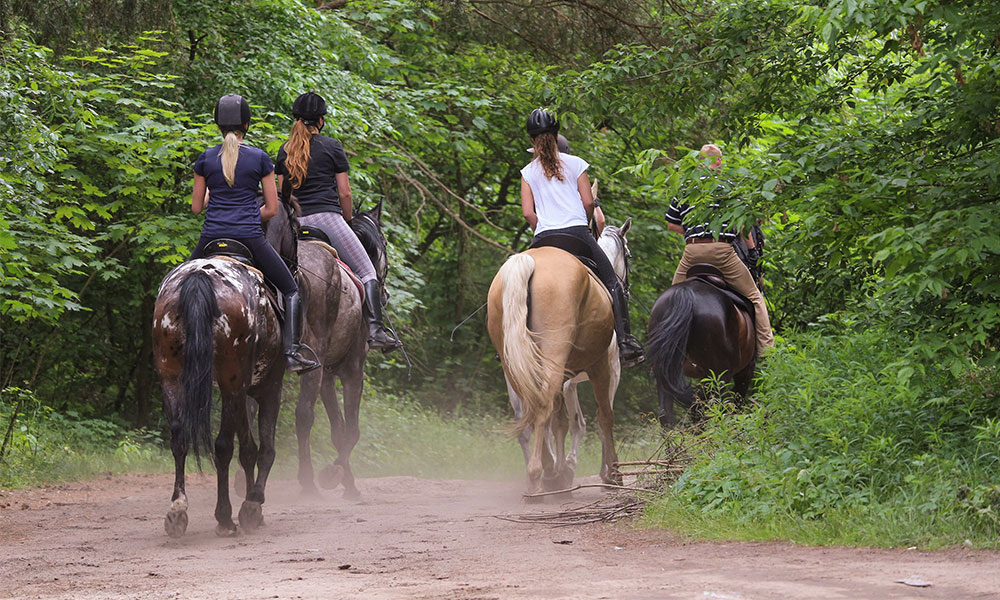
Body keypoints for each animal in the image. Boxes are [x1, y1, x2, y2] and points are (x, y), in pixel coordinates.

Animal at [152, 246, 285, 537]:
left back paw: (177, 510)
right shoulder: (267, 386)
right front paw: (252, 504)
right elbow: (263, 449)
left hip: (172, 377)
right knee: (223, 446)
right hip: (230, 381)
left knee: (179, 437)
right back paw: (224, 517)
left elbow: (248, 448)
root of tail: (199, 277)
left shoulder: (242, 390)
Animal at [265, 199, 390, 500]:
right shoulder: (352, 369)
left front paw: (346, 479)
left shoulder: (328, 375)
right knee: (303, 415)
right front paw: (335, 475)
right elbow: (351, 430)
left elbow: (337, 429)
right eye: (385, 242)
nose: (385, 293)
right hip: (313, 362)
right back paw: (308, 481)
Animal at [488, 219, 633, 497]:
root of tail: (526, 262)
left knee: (530, 415)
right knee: (543, 408)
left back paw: (543, 473)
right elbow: (602, 418)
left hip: (516, 367)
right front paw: (610, 473)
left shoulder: (567, 381)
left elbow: (564, 423)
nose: (626, 289)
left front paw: (563, 469)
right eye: (629, 256)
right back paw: (539, 476)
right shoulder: (609, 369)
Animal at [646, 266, 757, 427]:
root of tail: (685, 293)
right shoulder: (745, 370)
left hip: (664, 371)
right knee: (711, 409)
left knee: (666, 414)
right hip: (719, 375)